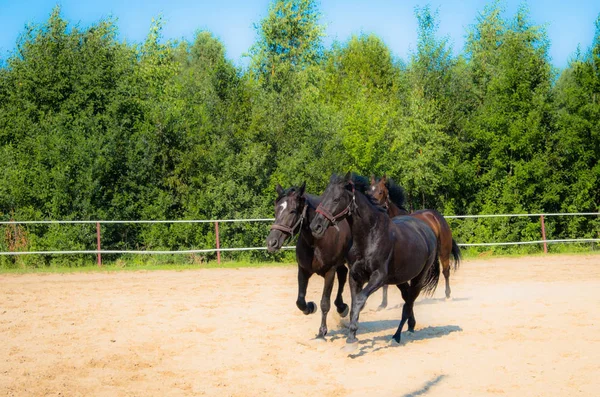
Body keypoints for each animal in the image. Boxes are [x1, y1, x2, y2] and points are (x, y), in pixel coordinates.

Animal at [266, 181, 352, 338]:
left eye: (293, 211)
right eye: (276, 210)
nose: (271, 242)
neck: (316, 241)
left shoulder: (330, 272)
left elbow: (325, 302)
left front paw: (322, 330)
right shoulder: (303, 270)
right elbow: (300, 301)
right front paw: (310, 307)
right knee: (343, 274)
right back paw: (342, 307)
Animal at [312, 173, 438, 344]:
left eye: (336, 199)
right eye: (324, 196)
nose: (315, 226)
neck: (369, 236)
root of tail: (427, 229)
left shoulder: (378, 277)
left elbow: (359, 301)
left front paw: (351, 338)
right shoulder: (355, 276)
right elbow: (354, 304)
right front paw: (352, 335)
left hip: (419, 277)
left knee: (409, 302)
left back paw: (397, 336)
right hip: (401, 278)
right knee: (407, 298)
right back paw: (411, 326)